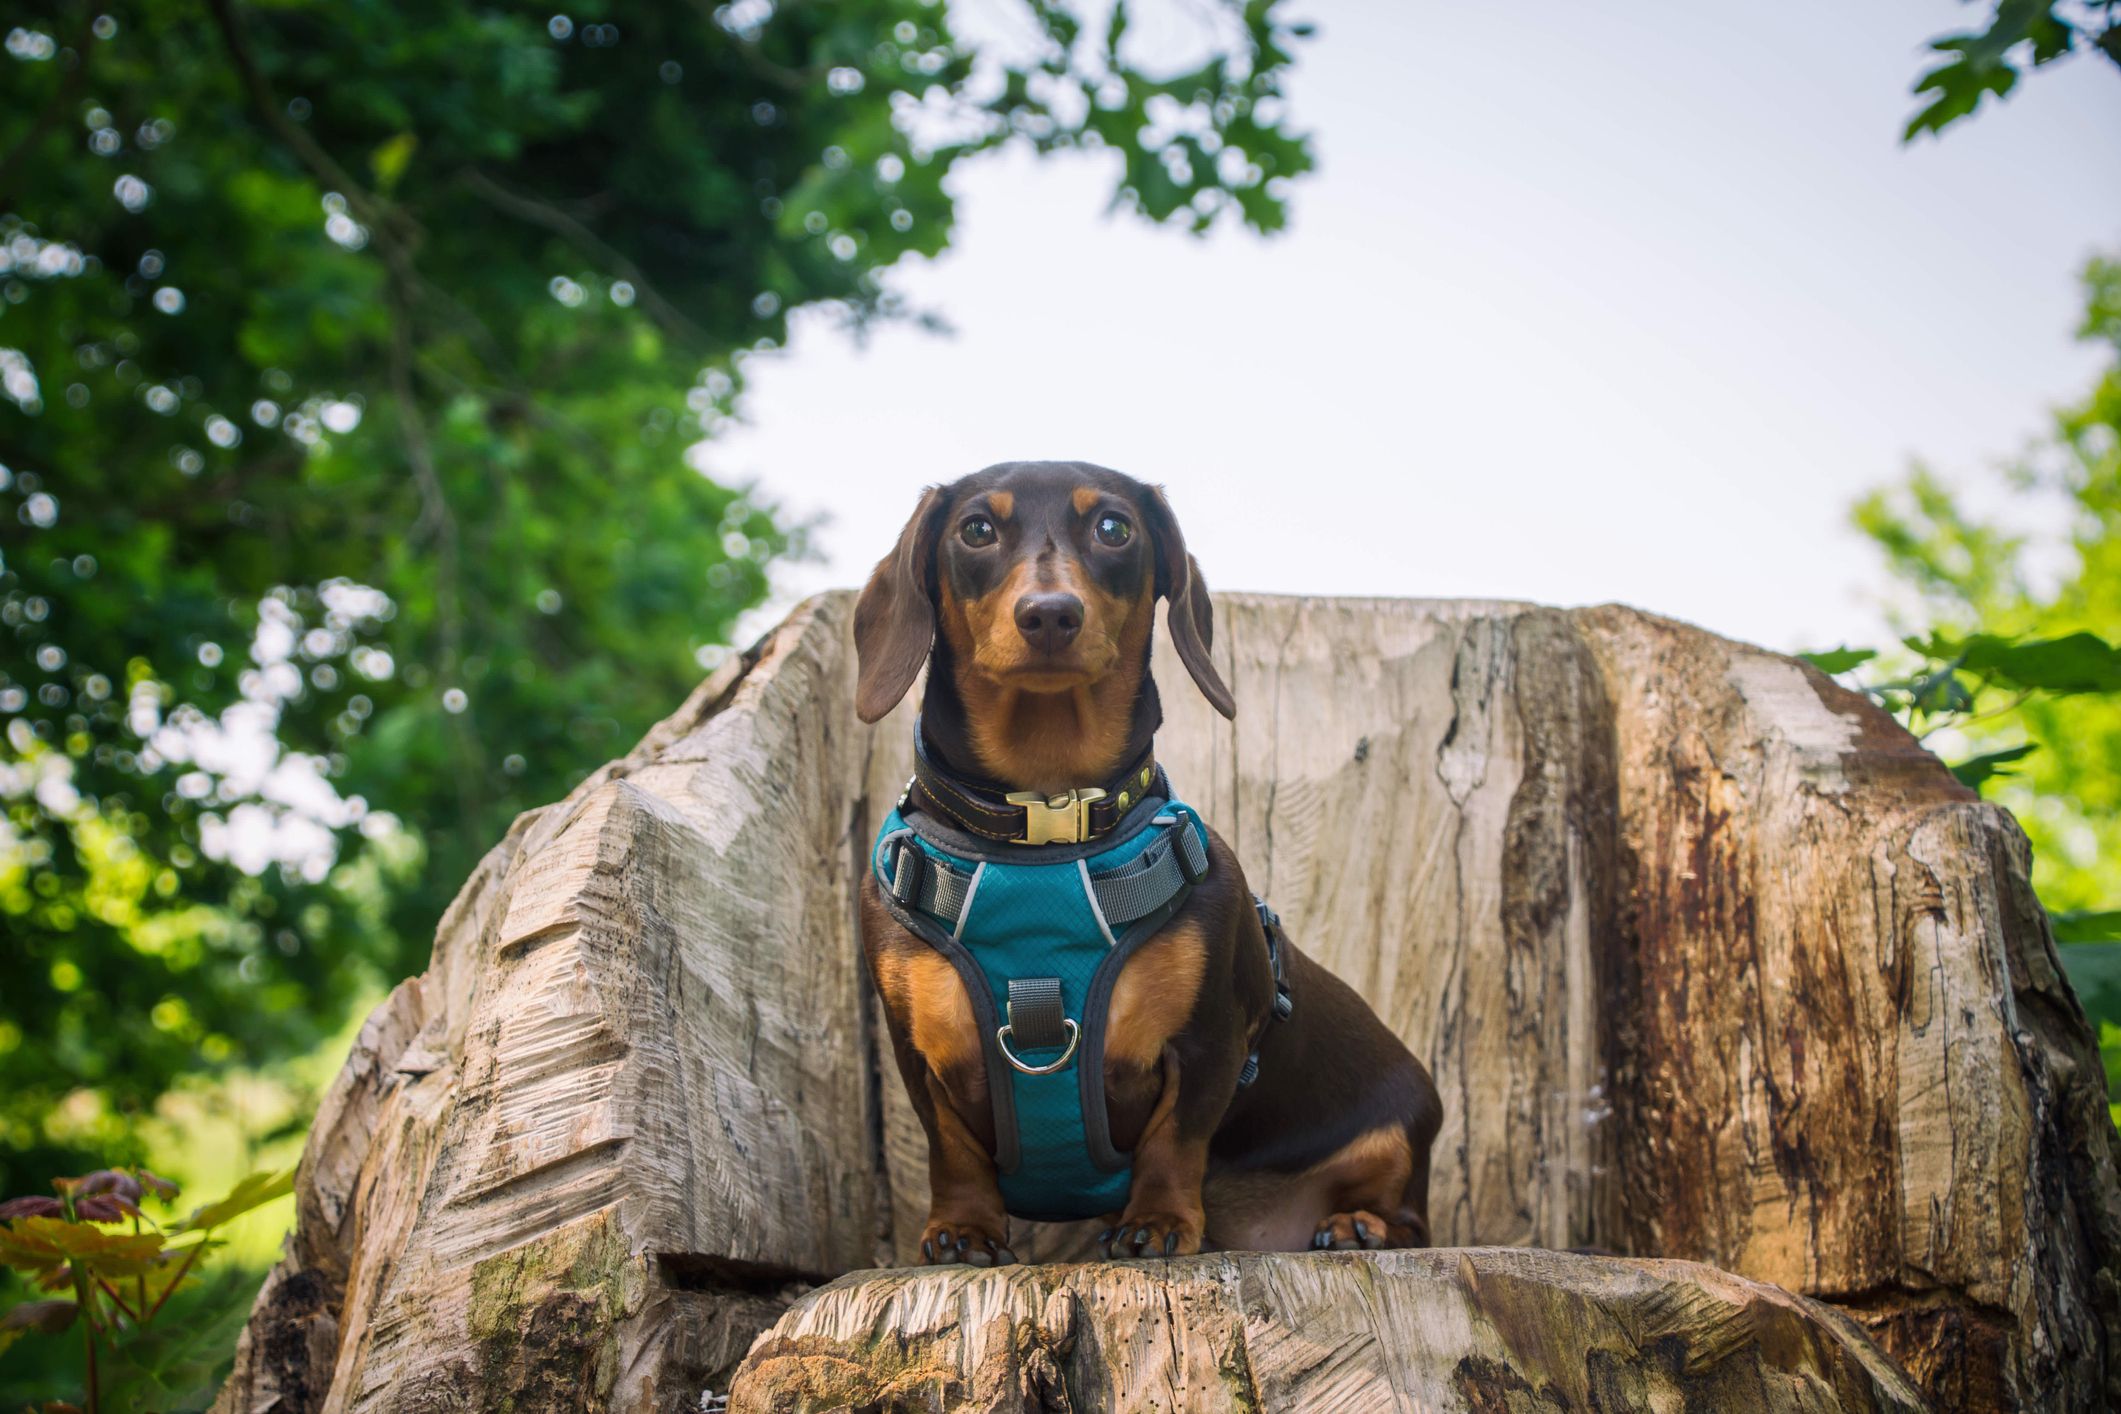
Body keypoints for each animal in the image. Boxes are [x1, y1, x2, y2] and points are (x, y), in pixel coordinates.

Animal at [852, 462, 1433, 1263]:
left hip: (1400, 1133)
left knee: (1410, 1217)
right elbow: (953, 1150)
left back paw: (1357, 1224)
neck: (1045, 826)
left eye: (1113, 528)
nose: (1050, 615)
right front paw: (963, 1229)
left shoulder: (1211, 1041)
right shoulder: (918, 1054)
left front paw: (1156, 1221)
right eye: (975, 529)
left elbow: (1175, 1139)